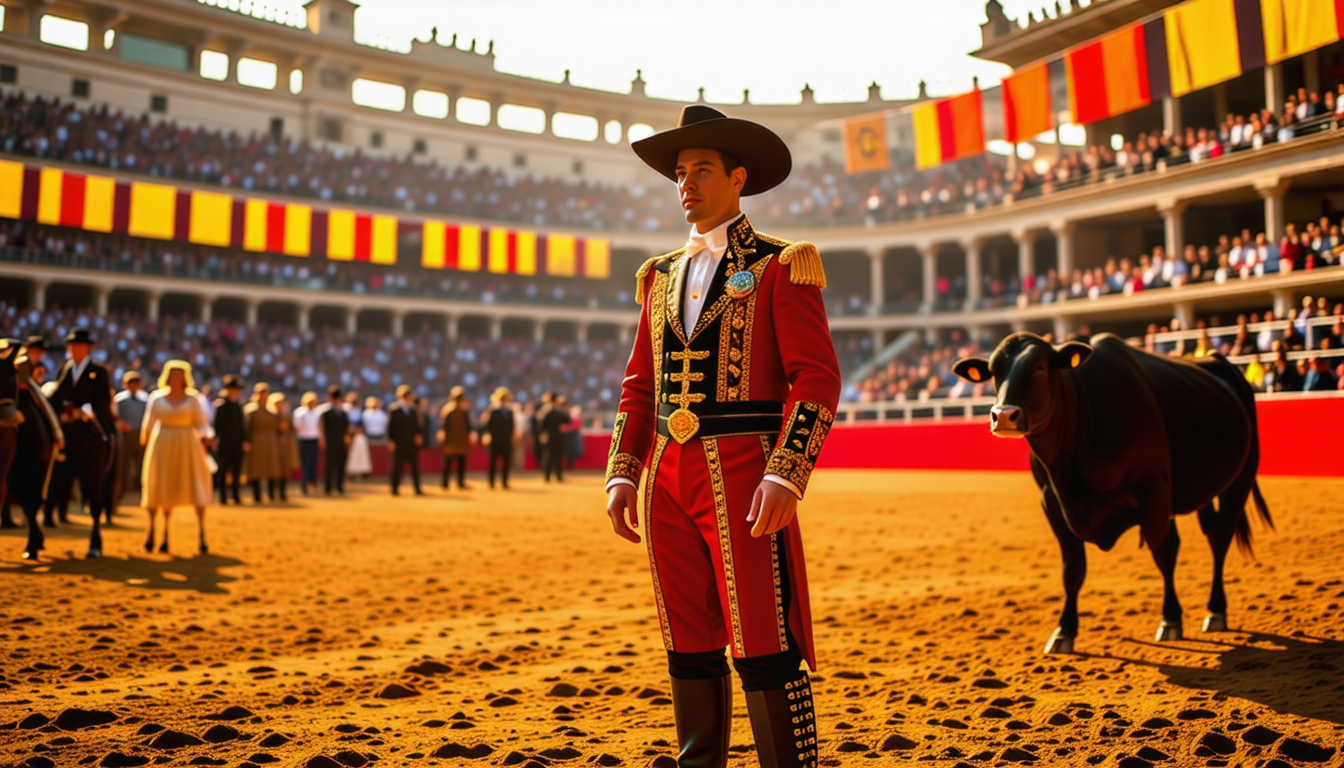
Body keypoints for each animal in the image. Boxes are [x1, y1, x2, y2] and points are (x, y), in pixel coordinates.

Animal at [951, 333, 1274, 650]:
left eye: (1040, 367)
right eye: (993, 371)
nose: (1003, 415)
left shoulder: (1153, 493)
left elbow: (1163, 554)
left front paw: (1170, 619)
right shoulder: (1052, 503)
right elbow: (1073, 569)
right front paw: (1063, 631)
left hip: (1241, 478)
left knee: (1220, 539)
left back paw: (1216, 610)